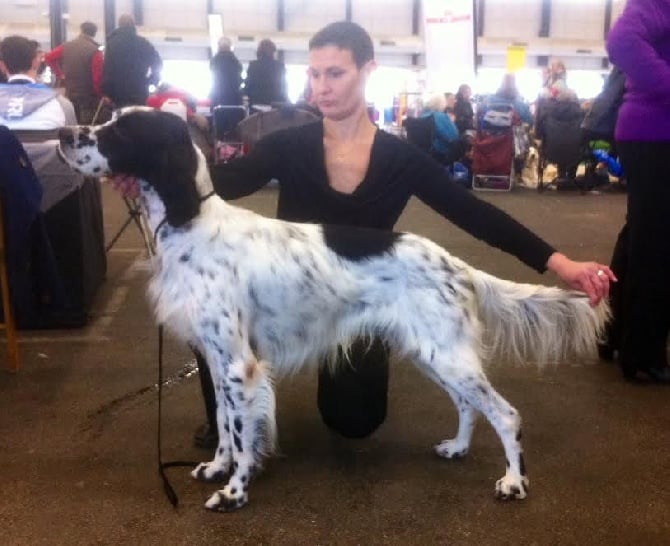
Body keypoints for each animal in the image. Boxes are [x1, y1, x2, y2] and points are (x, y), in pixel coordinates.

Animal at [59, 109, 616, 510]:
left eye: (121, 129)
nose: (63, 132)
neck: (190, 221)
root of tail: (457, 264)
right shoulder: (218, 361)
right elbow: (222, 422)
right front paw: (216, 468)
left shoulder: (238, 365)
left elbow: (240, 431)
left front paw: (234, 491)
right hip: (433, 353)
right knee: (467, 405)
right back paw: (457, 448)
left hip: (448, 355)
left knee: (505, 413)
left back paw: (513, 483)